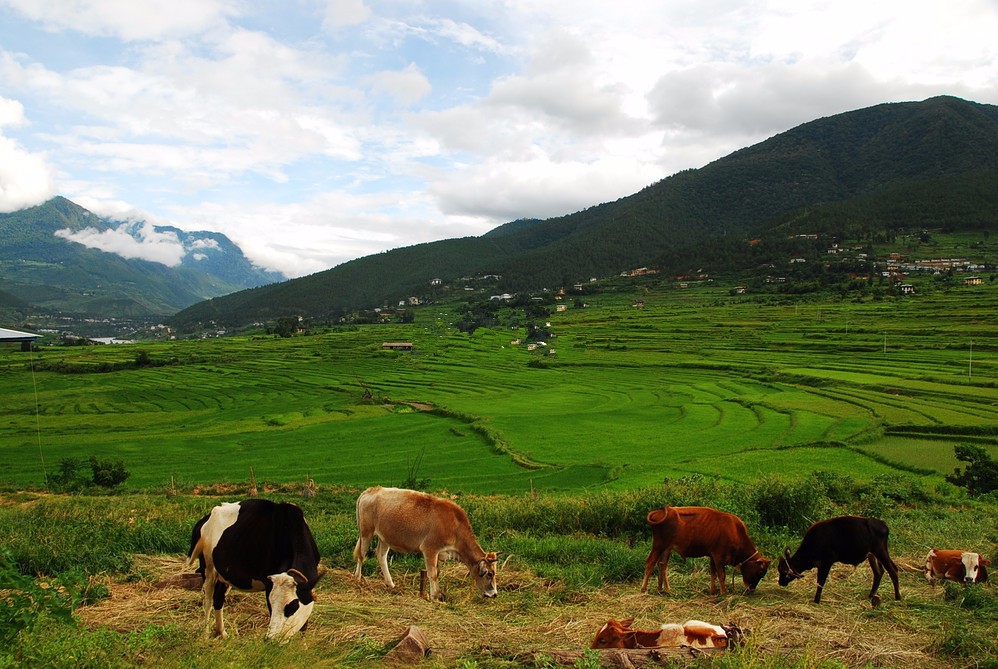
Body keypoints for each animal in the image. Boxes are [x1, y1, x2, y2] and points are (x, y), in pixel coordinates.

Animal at [189, 498, 322, 640]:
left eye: (292, 606)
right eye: (271, 603)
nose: (271, 639)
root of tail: (207, 517)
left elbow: (304, 624)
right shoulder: (269, 585)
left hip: (223, 575)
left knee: (218, 597)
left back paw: (222, 633)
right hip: (208, 569)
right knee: (208, 600)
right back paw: (205, 634)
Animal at [356, 486, 500, 600]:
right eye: (490, 574)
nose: (494, 594)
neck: (455, 526)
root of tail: (371, 489)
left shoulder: (440, 553)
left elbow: (437, 573)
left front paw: (437, 594)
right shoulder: (430, 549)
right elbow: (432, 574)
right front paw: (434, 596)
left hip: (385, 537)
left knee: (381, 556)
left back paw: (390, 584)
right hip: (366, 532)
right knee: (361, 555)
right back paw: (357, 579)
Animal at [640, 504, 772, 592]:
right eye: (760, 572)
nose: (751, 590)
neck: (734, 530)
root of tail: (661, 511)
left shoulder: (712, 555)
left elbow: (713, 573)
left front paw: (713, 591)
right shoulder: (718, 556)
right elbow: (721, 574)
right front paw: (724, 593)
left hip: (667, 548)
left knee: (662, 565)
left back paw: (664, 589)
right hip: (658, 545)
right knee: (650, 562)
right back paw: (644, 588)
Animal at [776, 516, 904, 604]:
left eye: (782, 570)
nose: (780, 582)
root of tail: (883, 524)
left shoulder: (827, 562)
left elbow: (821, 581)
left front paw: (816, 600)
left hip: (880, 551)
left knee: (893, 570)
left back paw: (898, 597)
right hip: (872, 555)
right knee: (879, 572)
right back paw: (871, 595)